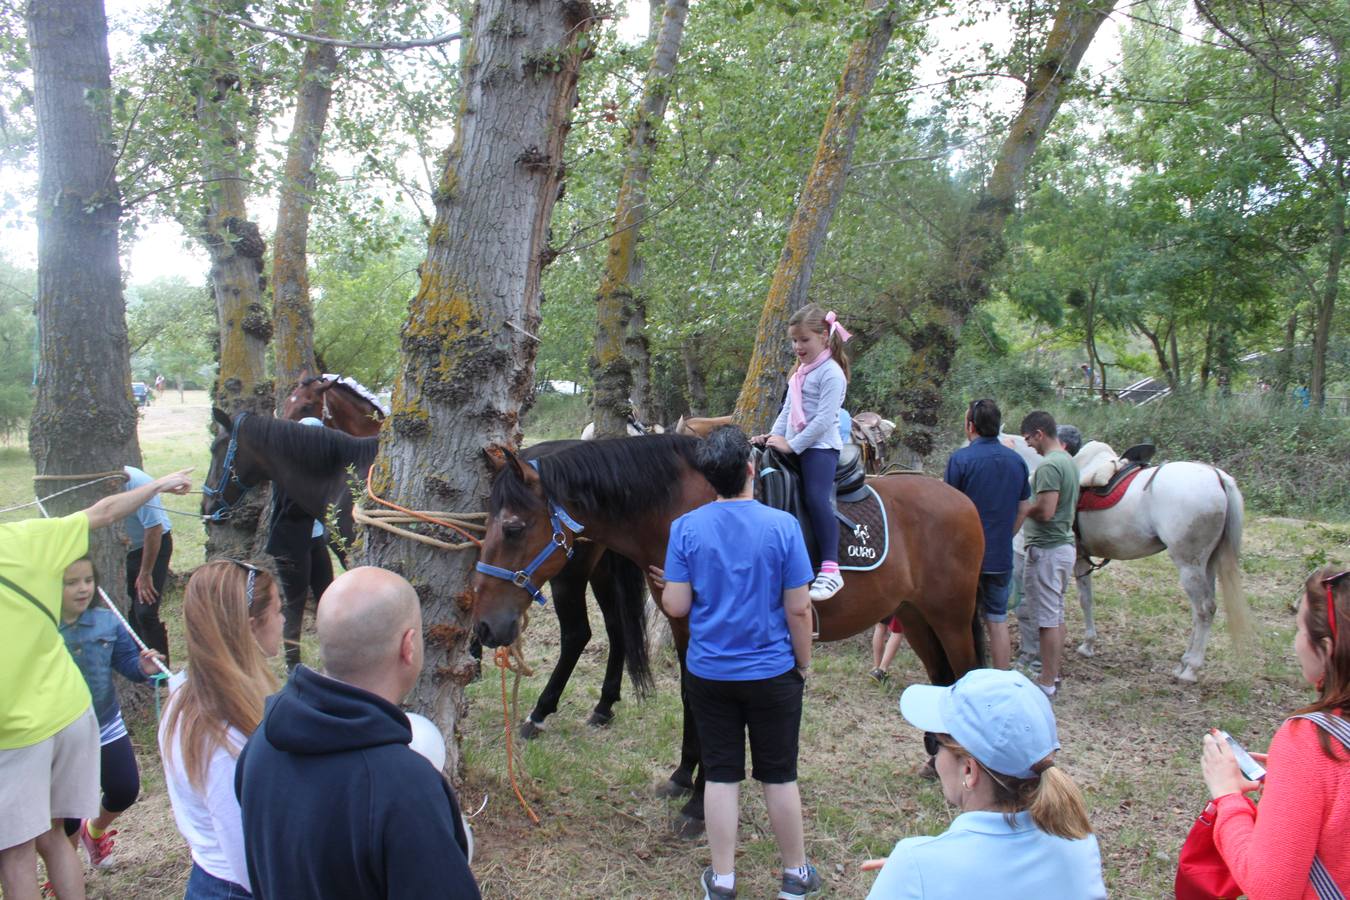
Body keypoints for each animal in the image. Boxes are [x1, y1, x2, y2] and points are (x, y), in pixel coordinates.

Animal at [475, 431, 982, 836]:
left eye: (513, 527)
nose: (484, 625)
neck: (681, 509)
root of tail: (962, 501)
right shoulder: (683, 626)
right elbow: (690, 699)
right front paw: (682, 777)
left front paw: (699, 806)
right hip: (914, 617)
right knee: (942, 680)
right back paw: (937, 762)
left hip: (951, 618)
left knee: (969, 675)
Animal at [1004, 431, 1252, 682]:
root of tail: (1218, 476)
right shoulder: (1081, 559)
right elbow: (1086, 599)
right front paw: (1088, 644)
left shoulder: (1073, 558)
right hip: (1207, 564)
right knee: (1201, 610)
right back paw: (1183, 663)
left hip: (1189, 566)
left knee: (1204, 609)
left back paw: (1190, 669)